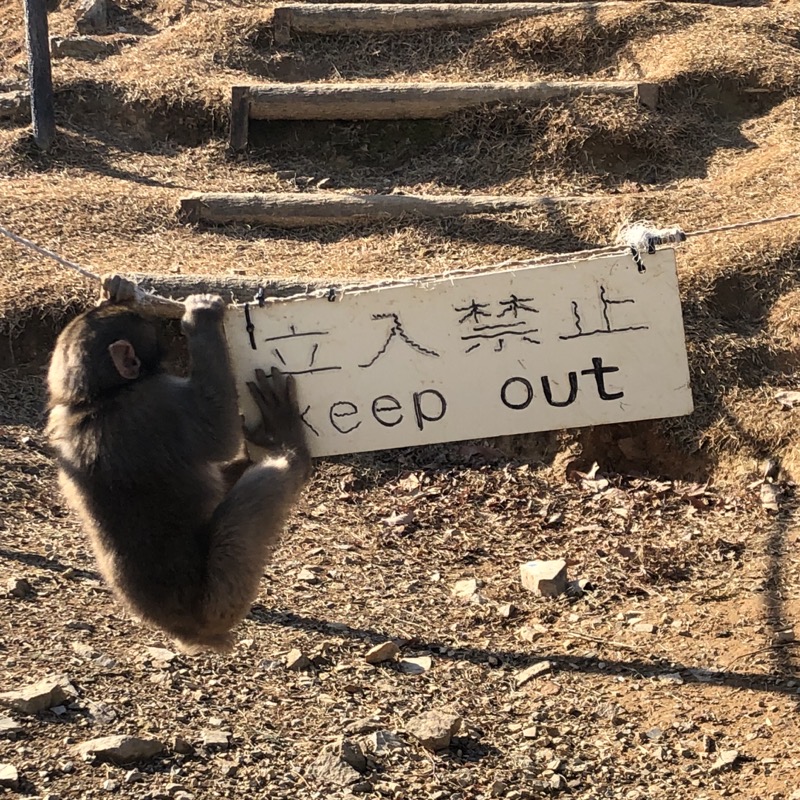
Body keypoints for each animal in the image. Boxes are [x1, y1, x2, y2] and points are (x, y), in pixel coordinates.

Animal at [46, 275, 311, 654]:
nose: (171, 342)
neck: (97, 399)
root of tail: (189, 632)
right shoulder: (164, 402)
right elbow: (219, 431)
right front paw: (201, 318)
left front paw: (114, 291)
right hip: (223, 596)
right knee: (261, 487)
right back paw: (290, 446)